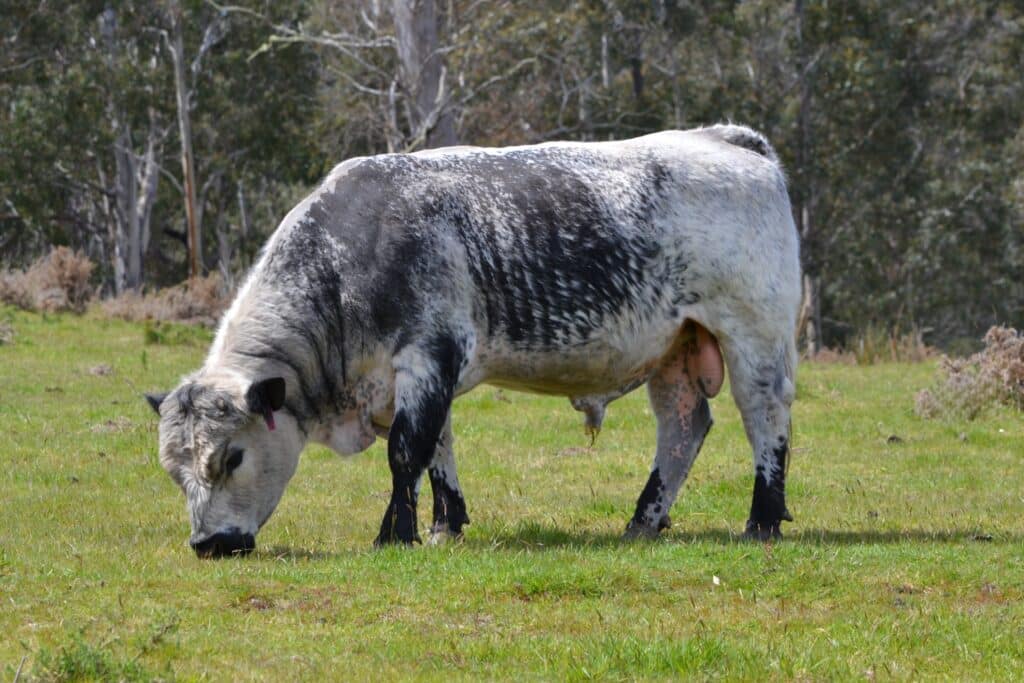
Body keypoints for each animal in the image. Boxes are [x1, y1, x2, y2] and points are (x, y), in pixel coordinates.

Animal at [146, 124, 800, 558]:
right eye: (173, 470)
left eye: (231, 457)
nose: (207, 544)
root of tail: (725, 139)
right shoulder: (416, 378)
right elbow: (437, 449)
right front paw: (444, 524)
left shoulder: (428, 355)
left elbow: (405, 451)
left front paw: (394, 535)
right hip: (675, 350)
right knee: (683, 430)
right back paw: (642, 521)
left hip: (755, 335)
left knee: (765, 420)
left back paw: (762, 522)